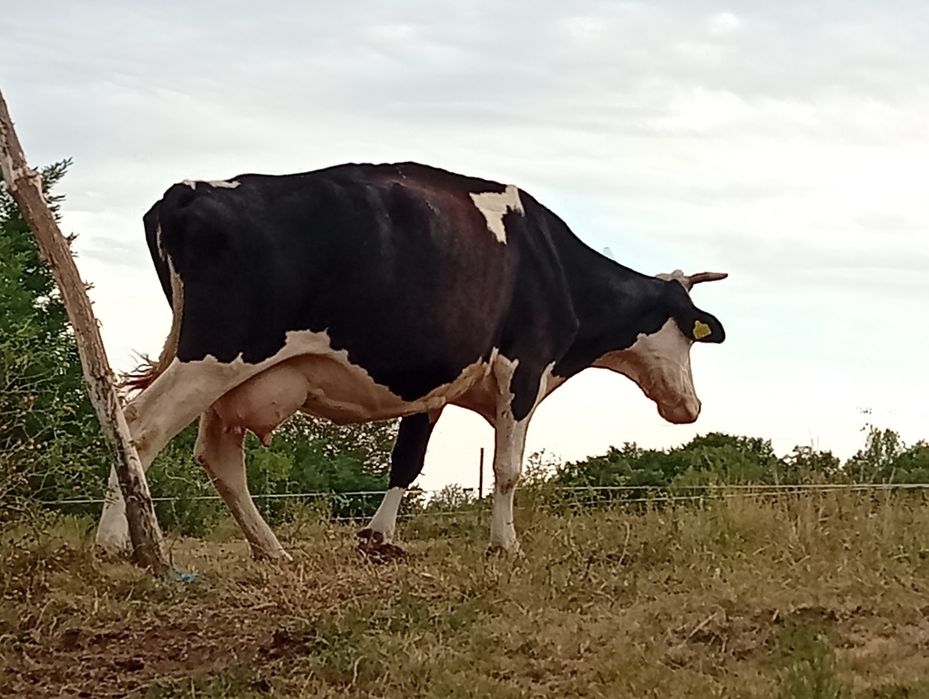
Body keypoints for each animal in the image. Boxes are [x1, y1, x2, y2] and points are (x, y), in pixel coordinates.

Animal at [94, 161, 727, 560]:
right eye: (693, 335)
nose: (691, 407)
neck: (555, 264)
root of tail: (190, 190)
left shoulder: (436, 385)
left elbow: (408, 460)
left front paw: (378, 537)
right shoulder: (523, 367)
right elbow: (507, 467)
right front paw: (505, 545)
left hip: (233, 374)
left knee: (218, 455)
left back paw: (270, 549)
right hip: (217, 355)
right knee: (140, 426)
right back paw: (120, 542)